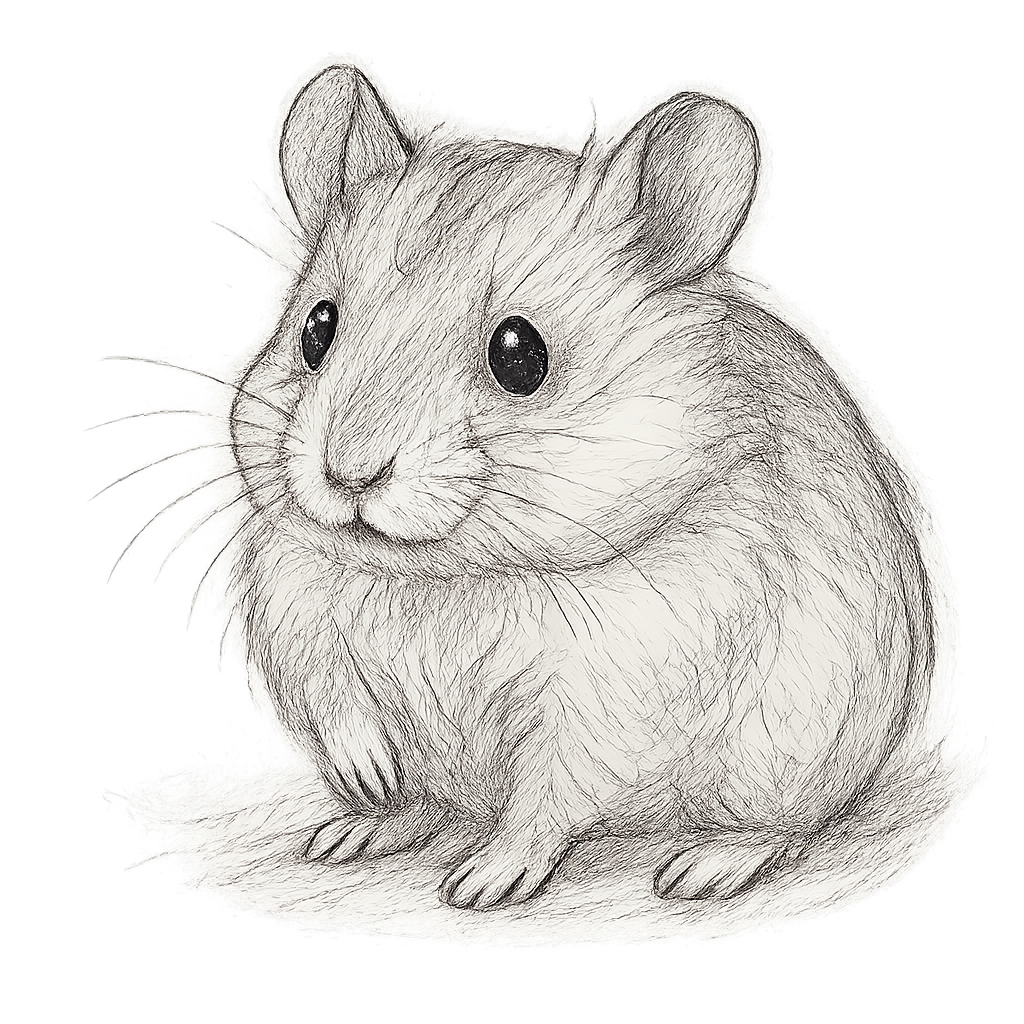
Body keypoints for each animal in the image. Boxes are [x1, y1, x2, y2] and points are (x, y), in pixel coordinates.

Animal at [228, 64, 935, 910]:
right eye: (316, 329)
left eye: (519, 354)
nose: (348, 473)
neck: (445, 576)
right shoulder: (290, 597)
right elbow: (332, 698)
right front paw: (369, 780)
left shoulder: (613, 691)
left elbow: (547, 794)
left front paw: (481, 886)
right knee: (426, 801)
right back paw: (353, 831)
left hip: (789, 756)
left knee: (785, 826)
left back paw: (702, 868)